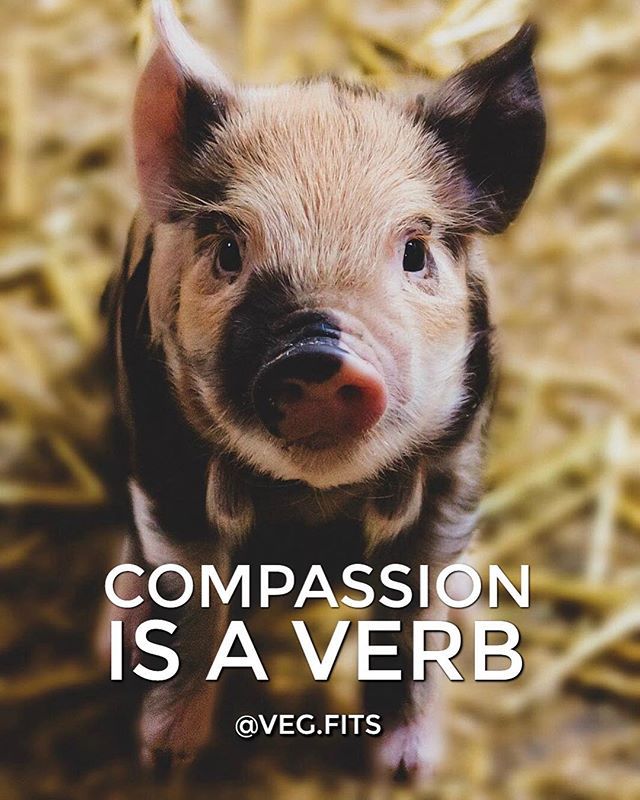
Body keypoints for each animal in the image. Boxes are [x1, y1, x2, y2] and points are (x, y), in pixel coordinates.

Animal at [105, 0, 545, 783]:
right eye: (228, 249)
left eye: (414, 253)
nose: (316, 353)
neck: (311, 504)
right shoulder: (163, 460)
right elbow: (190, 604)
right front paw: (163, 761)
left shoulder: (456, 470)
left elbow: (415, 620)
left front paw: (404, 772)